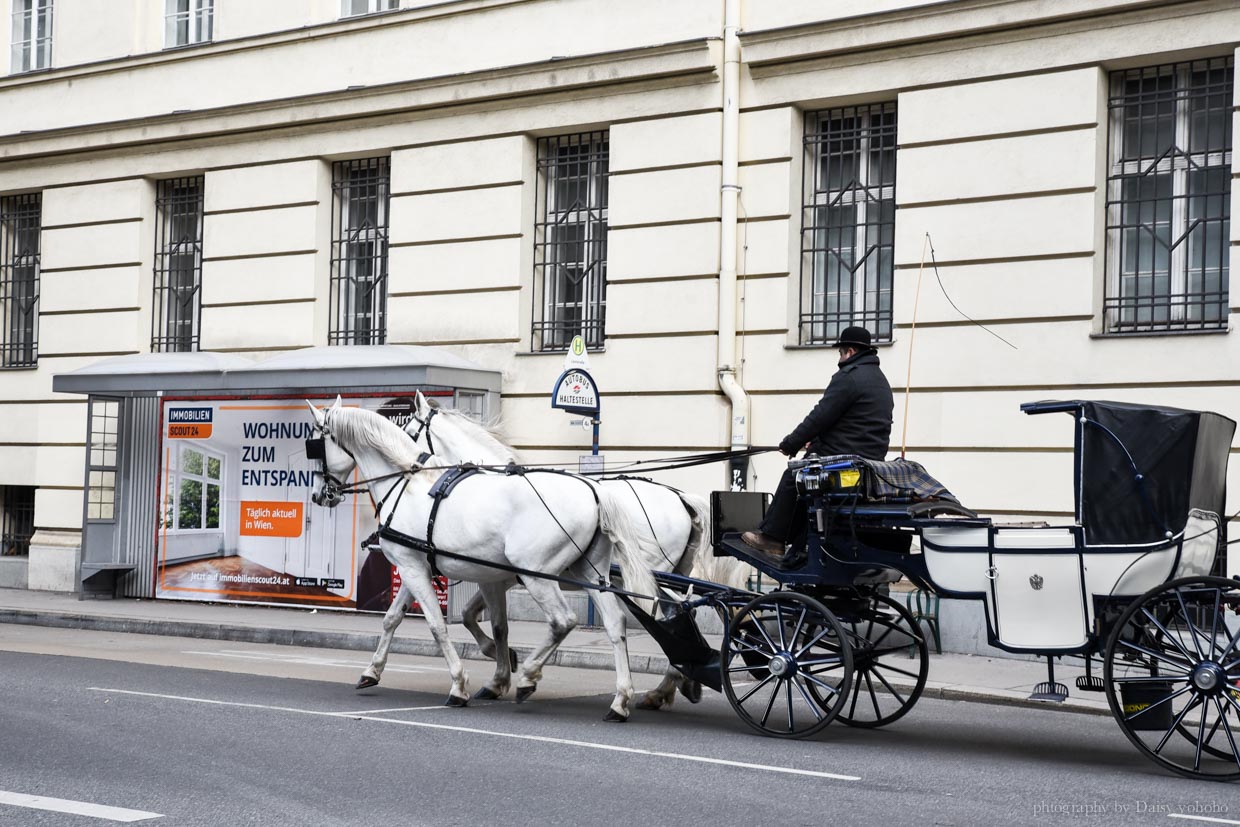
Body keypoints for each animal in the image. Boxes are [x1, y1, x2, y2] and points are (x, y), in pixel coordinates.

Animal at [307, 396, 659, 719]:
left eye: (315, 445)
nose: (319, 495)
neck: (406, 483)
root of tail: (594, 490)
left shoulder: (425, 569)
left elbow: (439, 626)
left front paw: (460, 684)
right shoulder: (418, 567)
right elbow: (395, 618)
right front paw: (372, 670)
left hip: (537, 575)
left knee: (562, 621)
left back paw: (530, 676)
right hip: (590, 573)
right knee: (614, 623)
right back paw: (621, 698)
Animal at [354, 394, 748, 714]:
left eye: (410, 432)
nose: (413, 465)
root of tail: (681, 498)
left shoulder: (497, 576)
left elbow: (483, 621)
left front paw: (503, 671)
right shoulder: (497, 576)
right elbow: (462, 618)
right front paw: (500, 669)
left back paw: (666, 685)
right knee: (679, 618)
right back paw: (672, 684)